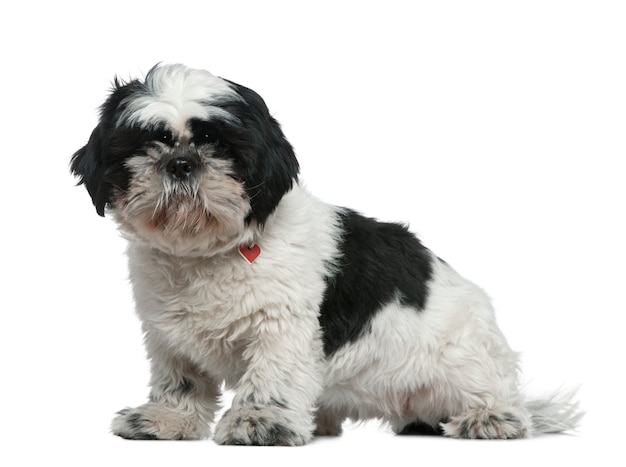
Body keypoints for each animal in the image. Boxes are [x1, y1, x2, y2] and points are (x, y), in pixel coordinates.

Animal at [69, 63, 580, 446]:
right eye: (147, 142)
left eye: (219, 144)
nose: (180, 163)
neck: (206, 255)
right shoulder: (167, 333)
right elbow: (181, 378)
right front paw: (167, 418)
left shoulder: (281, 325)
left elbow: (272, 374)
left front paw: (260, 422)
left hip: (466, 357)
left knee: (501, 398)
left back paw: (491, 418)